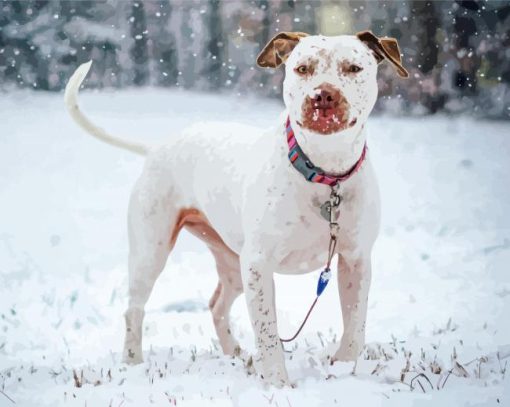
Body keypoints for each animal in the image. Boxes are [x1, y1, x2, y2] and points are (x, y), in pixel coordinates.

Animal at [64, 30, 406, 388]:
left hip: (231, 262)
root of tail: (157, 148)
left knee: (216, 305)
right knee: (134, 308)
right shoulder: (258, 264)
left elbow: (355, 324)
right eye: (303, 68)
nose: (323, 95)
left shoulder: (356, 260)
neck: (325, 173)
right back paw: (132, 362)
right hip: (151, 251)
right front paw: (278, 385)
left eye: (353, 67)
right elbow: (268, 333)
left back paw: (235, 354)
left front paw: (343, 368)